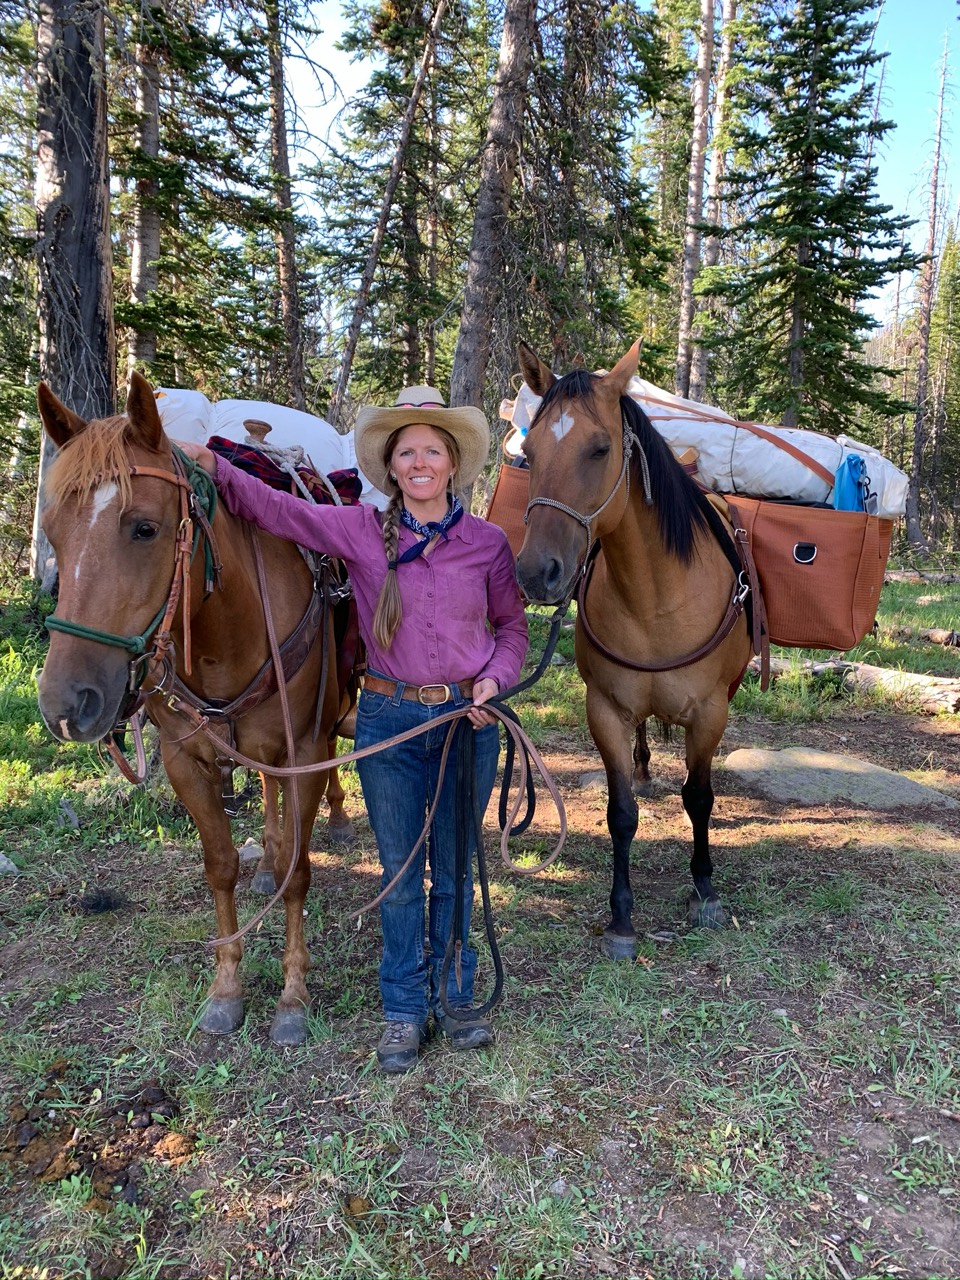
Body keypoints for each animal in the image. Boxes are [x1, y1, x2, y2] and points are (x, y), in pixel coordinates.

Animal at [36, 372, 358, 1045]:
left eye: (144, 528)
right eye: (51, 532)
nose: (65, 703)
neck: (227, 633)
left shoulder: (304, 751)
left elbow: (299, 870)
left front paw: (292, 996)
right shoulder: (187, 761)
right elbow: (220, 866)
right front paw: (227, 989)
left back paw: (338, 819)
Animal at [514, 341, 757, 957]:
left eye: (600, 449)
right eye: (528, 451)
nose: (535, 573)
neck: (655, 600)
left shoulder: (711, 713)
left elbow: (700, 796)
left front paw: (704, 890)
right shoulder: (604, 709)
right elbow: (621, 813)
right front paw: (621, 917)